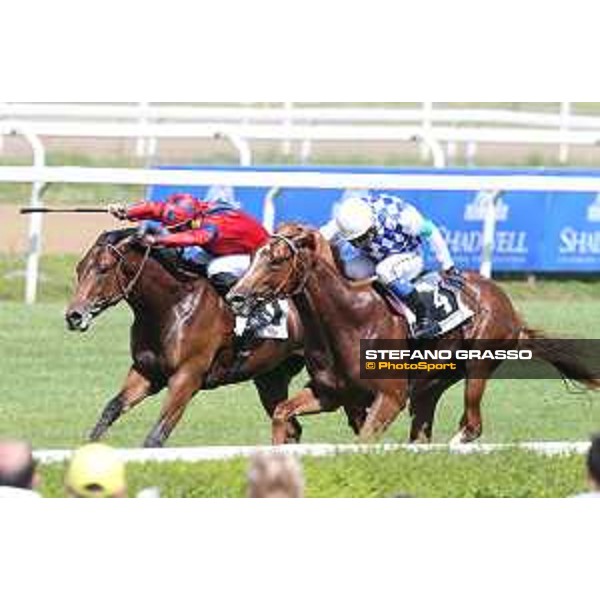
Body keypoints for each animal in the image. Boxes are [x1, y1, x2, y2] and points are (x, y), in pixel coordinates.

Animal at [67, 230, 304, 446]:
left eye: (103, 269)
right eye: (79, 268)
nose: (73, 316)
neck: (172, 306)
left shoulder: (186, 377)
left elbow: (155, 437)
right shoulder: (147, 372)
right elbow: (111, 409)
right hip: (270, 377)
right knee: (291, 425)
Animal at [229, 225, 600, 446]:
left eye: (276, 260)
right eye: (255, 255)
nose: (236, 296)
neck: (349, 319)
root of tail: (508, 306)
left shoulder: (390, 397)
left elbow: (363, 440)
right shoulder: (330, 393)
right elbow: (282, 413)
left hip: (479, 365)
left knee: (472, 424)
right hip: (429, 386)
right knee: (424, 429)